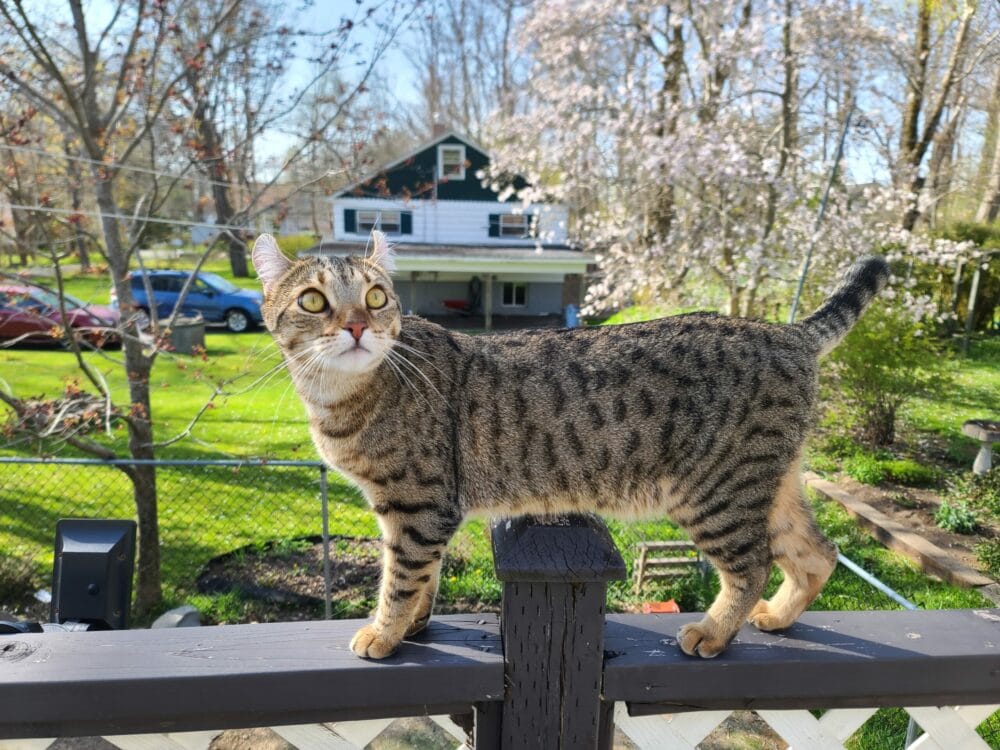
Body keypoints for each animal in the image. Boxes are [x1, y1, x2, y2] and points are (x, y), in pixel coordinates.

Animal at [252, 232, 892, 660]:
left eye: (377, 297)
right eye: (314, 301)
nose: (358, 325)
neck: (343, 396)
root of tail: (787, 331)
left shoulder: (419, 506)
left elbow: (401, 577)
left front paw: (384, 631)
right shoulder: (418, 510)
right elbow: (423, 579)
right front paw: (411, 625)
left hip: (716, 493)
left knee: (753, 563)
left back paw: (713, 631)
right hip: (770, 486)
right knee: (819, 553)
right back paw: (778, 617)